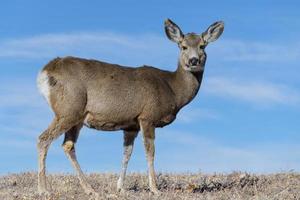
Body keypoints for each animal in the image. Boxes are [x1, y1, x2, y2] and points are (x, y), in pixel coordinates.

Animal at [36, 19, 224, 198]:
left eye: (202, 46)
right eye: (183, 46)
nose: (194, 61)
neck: (172, 89)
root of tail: (44, 72)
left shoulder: (131, 125)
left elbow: (127, 153)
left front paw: (120, 187)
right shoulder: (147, 116)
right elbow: (150, 152)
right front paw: (154, 189)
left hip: (76, 116)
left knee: (67, 145)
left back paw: (90, 190)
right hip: (68, 109)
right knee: (43, 139)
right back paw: (44, 190)